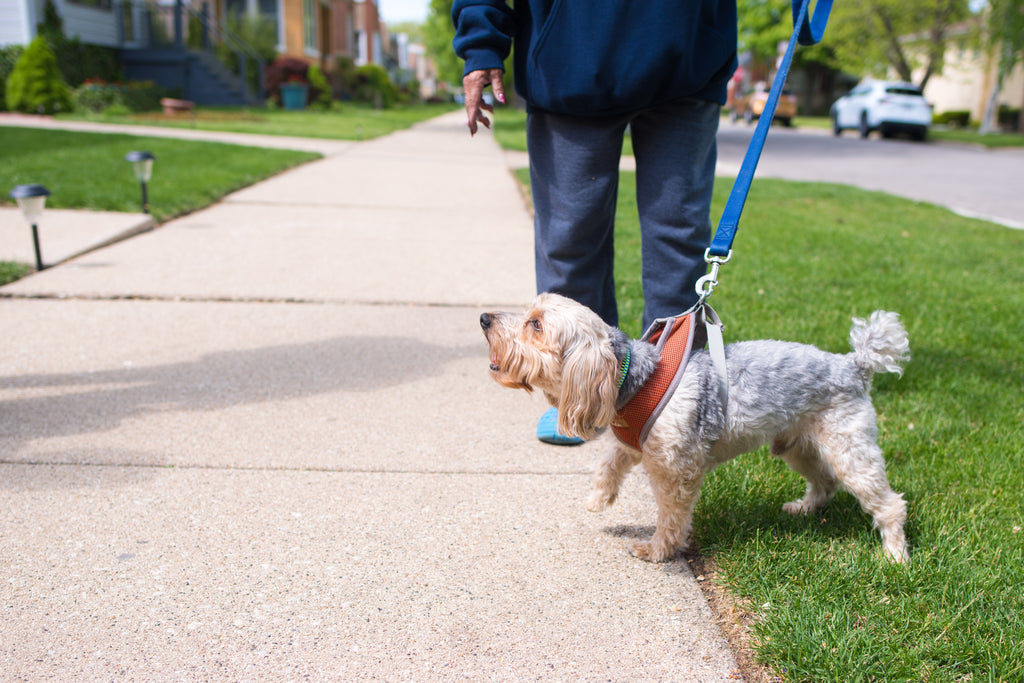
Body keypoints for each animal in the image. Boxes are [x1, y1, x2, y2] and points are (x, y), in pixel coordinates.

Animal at [479, 294, 913, 565]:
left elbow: (671, 515)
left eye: (536, 324)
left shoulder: (676, 469)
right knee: (824, 481)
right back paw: (804, 508)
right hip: (798, 445)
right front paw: (600, 498)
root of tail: (854, 364)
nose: (483, 318)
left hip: (849, 448)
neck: (633, 381)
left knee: (889, 503)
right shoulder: (635, 444)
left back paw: (895, 556)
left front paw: (658, 550)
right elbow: (609, 461)